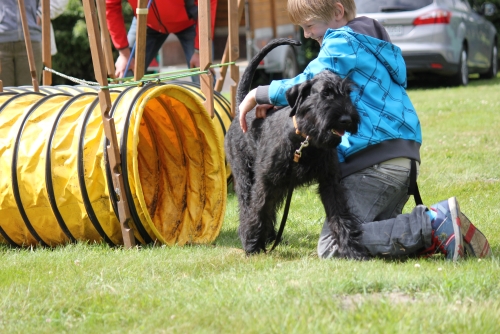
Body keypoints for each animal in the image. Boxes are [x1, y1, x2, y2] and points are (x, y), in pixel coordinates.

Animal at [227, 37, 368, 260]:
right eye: (325, 93)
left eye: (347, 93)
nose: (346, 119)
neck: (305, 141)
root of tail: (240, 108)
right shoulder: (265, 182)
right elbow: (257, 210)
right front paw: (252, 245)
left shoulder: (330, 182)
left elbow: (340, 214)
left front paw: (351, 249)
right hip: (245, 176)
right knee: (246, 206)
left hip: (281, 185)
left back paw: (271, 236)